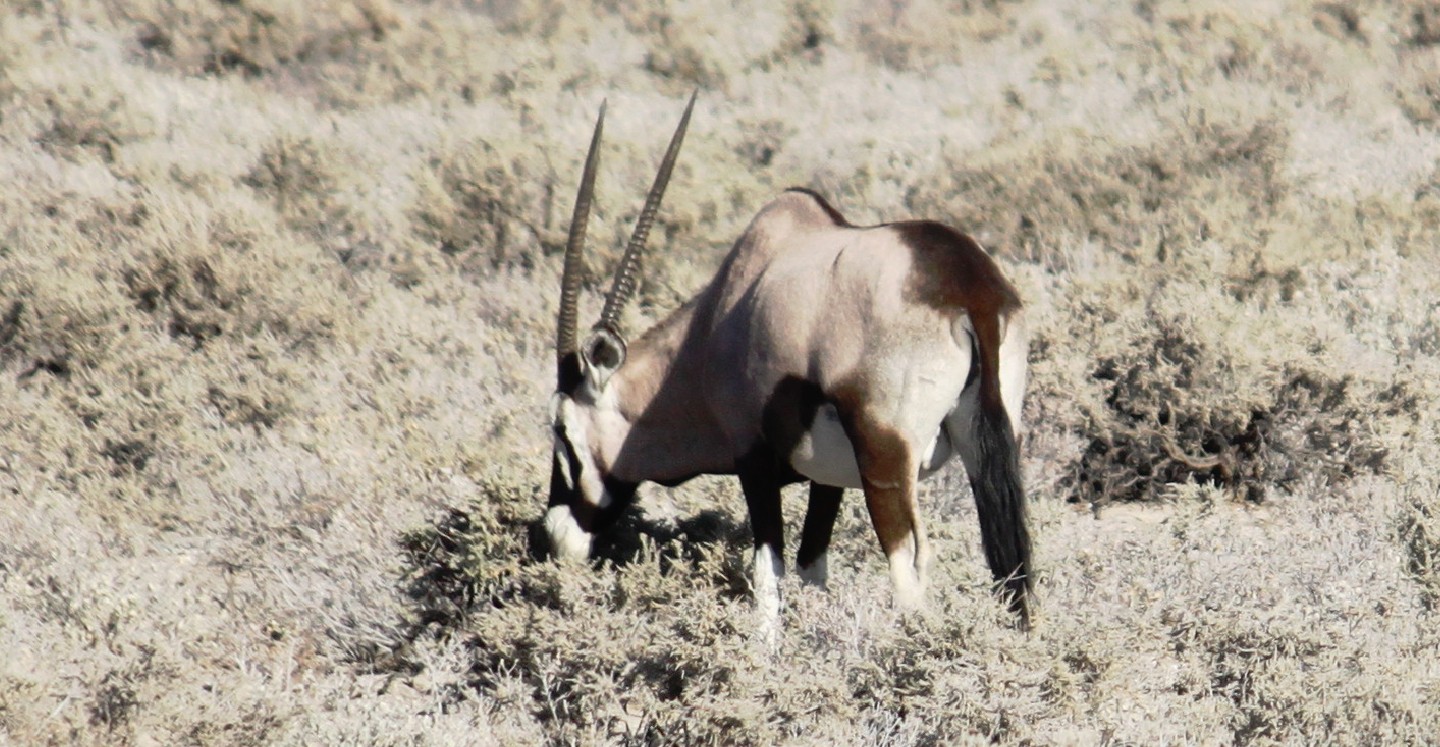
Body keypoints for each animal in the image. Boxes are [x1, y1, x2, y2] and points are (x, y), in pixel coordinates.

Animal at [541, 94, 1036, 630]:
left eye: (561, 430)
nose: (550, 539)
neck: (712, 328)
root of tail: (971, 289)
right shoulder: (828, 479)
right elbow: (811, 567)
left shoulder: (753, 458)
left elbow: (768, 575)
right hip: (990, 448)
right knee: (1012, 569)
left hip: (885, 459)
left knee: (910, 566)